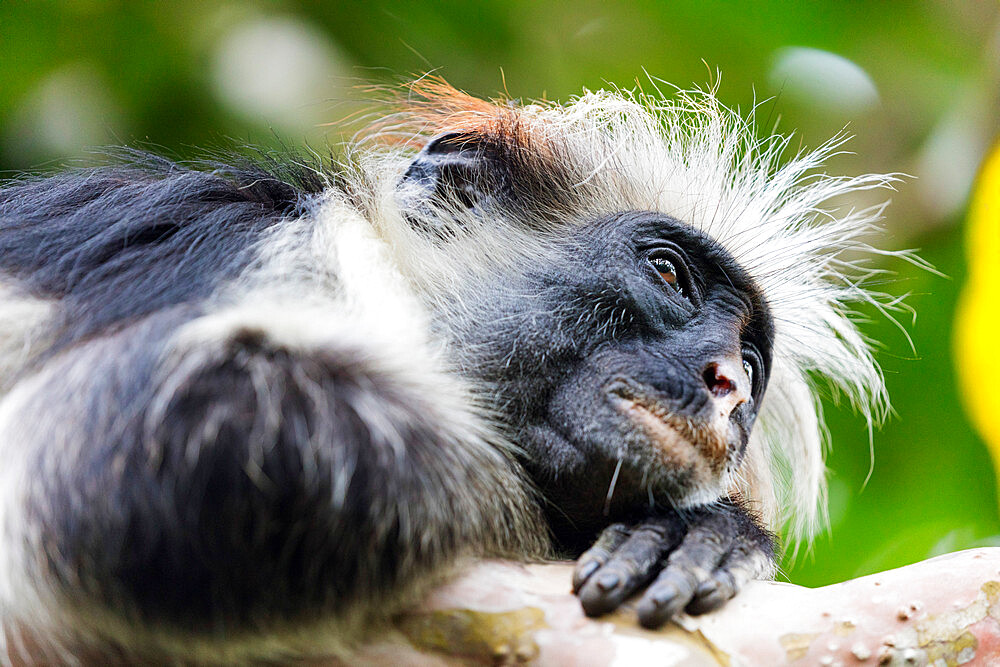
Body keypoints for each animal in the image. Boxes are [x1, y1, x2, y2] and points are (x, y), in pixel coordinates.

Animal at [0, 79, 900, 664]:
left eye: (752, 360)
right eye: (670, 272)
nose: (729, 383)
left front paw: (704, 532)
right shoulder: (259, 250)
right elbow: (119, 460)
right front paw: (686, 530)